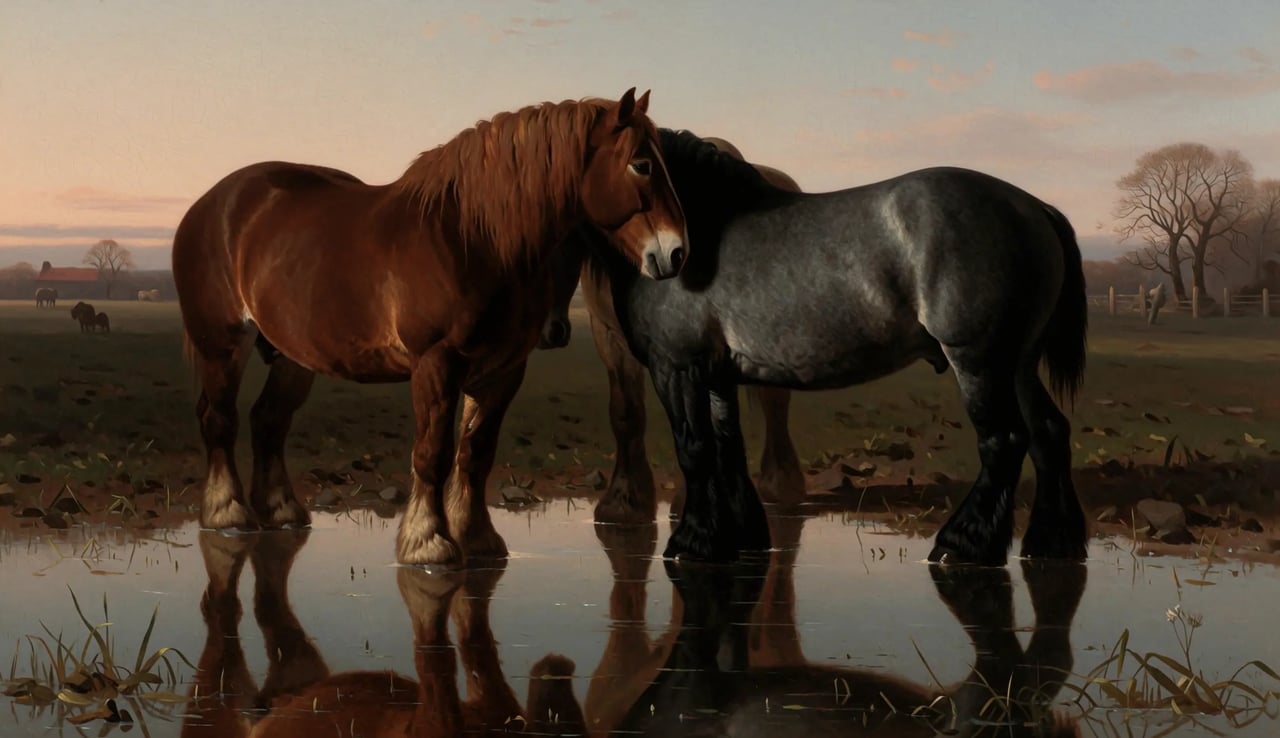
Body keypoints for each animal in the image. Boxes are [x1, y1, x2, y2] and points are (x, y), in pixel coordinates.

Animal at [171, 88, 690, 569]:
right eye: (642, 164)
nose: (676, 253)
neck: (471, 238)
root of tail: (211, 205)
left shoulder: (502, 371)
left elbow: (475, 453)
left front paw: (477, 539)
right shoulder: (437, 364)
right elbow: (432, 454)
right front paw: (428, 542)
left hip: (293, 356)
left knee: (268, 419)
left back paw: (282, 512)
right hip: (222, 345)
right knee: (219, 419)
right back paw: (228, 514)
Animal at [572, 128, 1089, 566]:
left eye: (642, 165)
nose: (667, 257)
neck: (701, 226)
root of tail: (1032, 207)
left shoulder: (677, 368)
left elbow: (694, 449)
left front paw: (692, 543)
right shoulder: (715, 374)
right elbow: (726, 449)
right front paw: (739, 538)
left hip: (979, 361)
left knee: (1004, 441)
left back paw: (961, 545)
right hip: (1018, 364)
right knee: (1048, 433)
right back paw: (1051, 544)